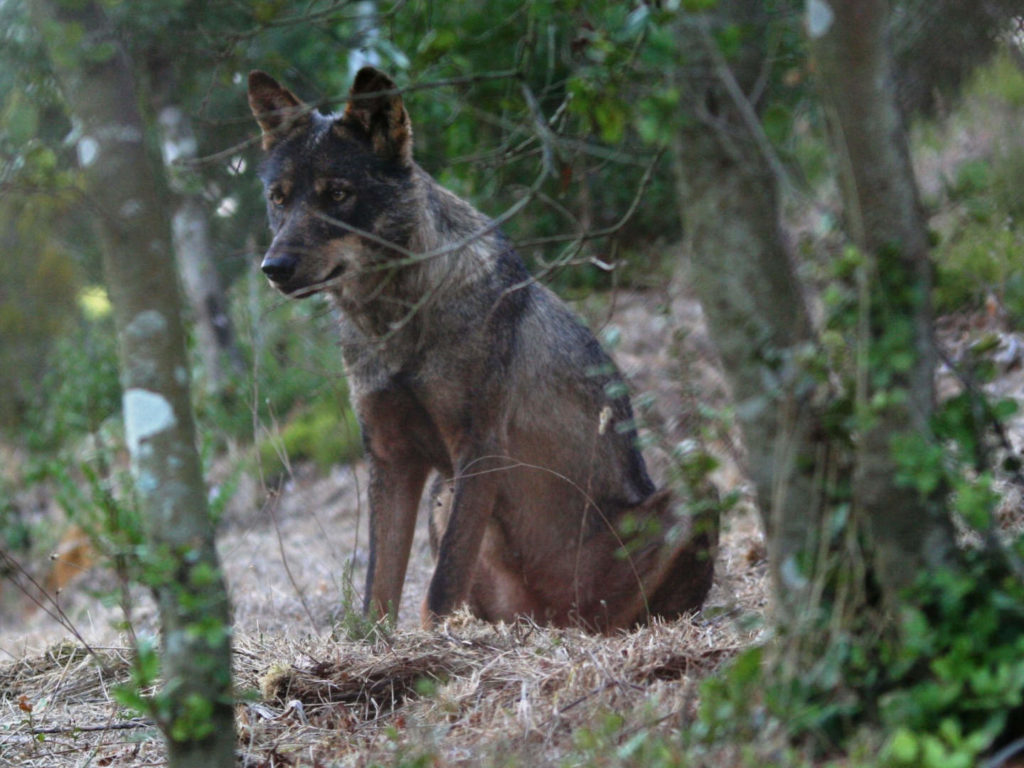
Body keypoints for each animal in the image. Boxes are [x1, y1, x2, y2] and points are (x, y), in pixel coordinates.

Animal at [244, 67, 716, 630]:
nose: (274, 268)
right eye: (279, 198)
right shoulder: (391, 457)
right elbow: (377, 592)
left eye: (337, 194)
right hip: (442, 497)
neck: (396, 321)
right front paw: (374, 647)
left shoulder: (477, 447)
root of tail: (554, 617)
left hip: (693, 489)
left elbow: (439, 587)